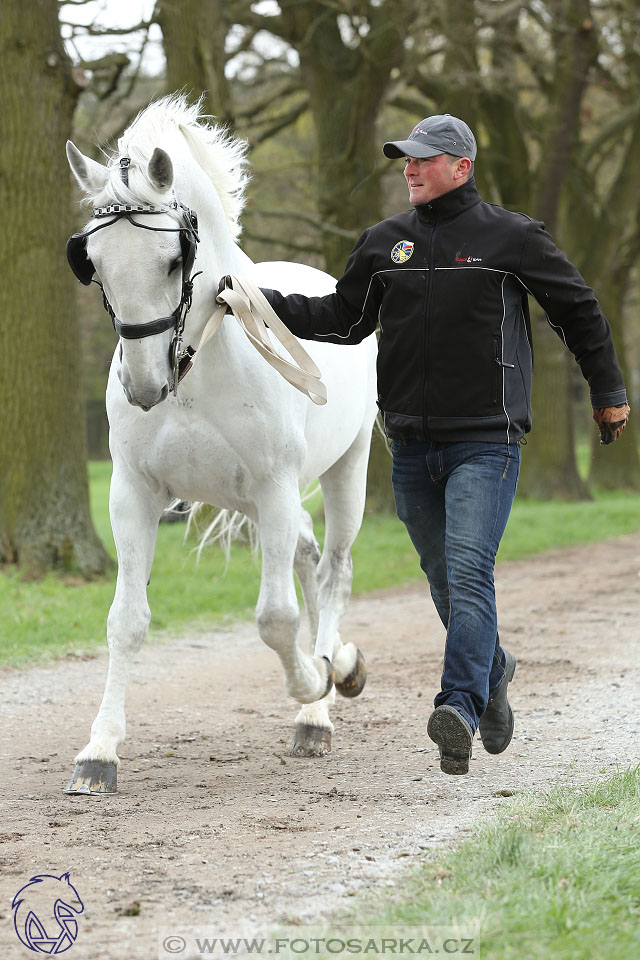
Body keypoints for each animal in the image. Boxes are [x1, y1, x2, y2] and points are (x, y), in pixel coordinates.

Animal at [63, 94, 378, 796]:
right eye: (94, 263)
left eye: (172, 259)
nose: (143, 384)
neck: (197, 368)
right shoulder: (133, 494)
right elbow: (126, 621)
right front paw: (99, 752)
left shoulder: (276, 487)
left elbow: (275, 618)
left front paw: (314, 680)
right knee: (308, 557)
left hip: (346, 469)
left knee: (334, 569)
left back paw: (322, 698)